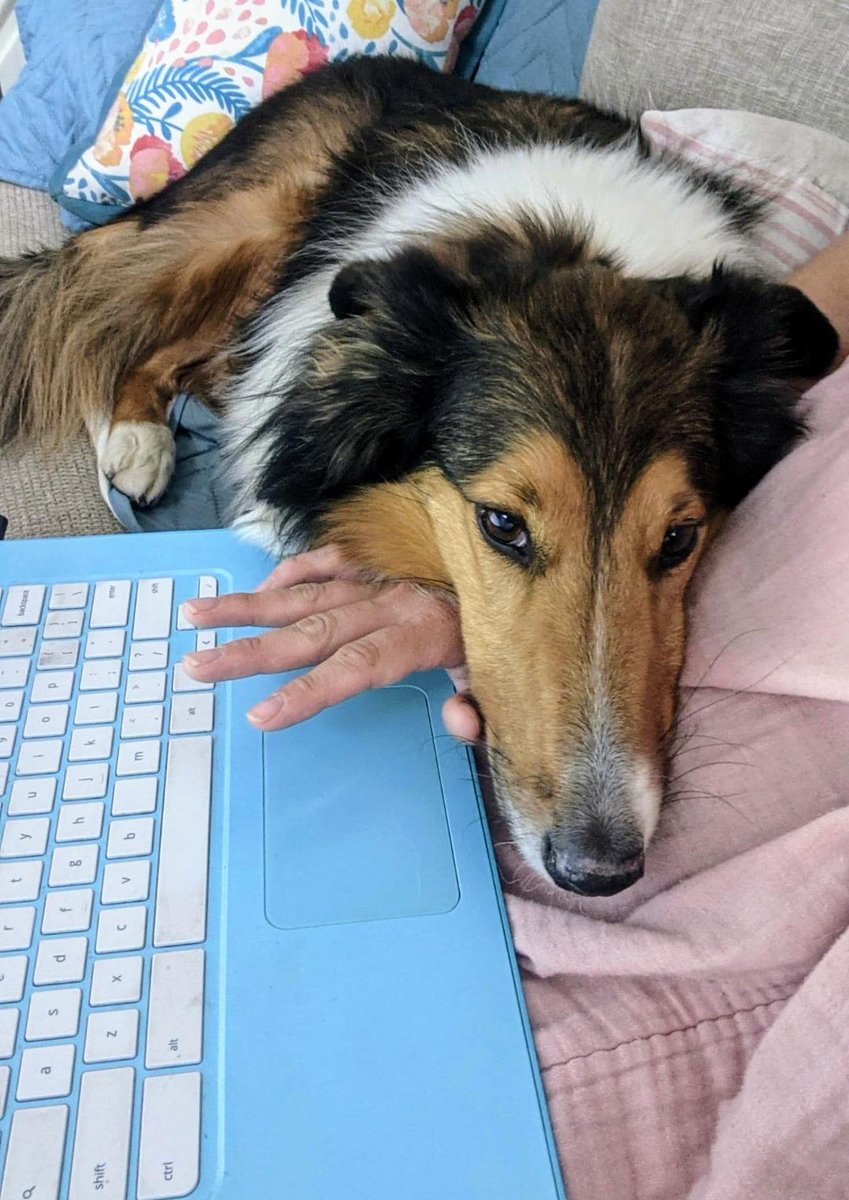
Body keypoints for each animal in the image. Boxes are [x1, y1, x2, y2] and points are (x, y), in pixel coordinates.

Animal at [0, 60, 834, 897]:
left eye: (679, 538)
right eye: (501, 524)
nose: (599, 870)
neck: (581, 244)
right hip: (254, 220)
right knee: (109, 316)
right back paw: (134, 436)